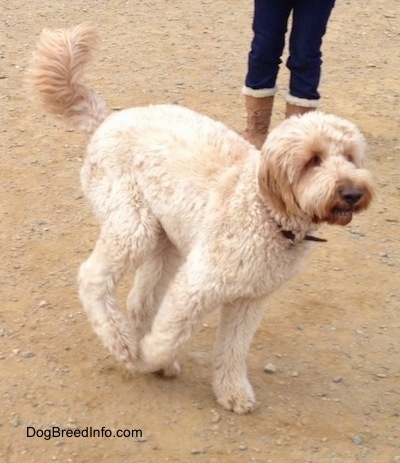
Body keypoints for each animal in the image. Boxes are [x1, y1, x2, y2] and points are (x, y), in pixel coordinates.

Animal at [28, 22, 376, 414]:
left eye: (350, 157)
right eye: (313, 160)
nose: (352, 193)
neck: (266, 213)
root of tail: (107, 119)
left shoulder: (250, 299)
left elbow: (233, 349)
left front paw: (233, 392)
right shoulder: (197, 284)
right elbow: (168, 336)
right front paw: (148, 358)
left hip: (165, 240)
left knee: (140, 299)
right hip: (133, 226)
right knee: (92, 277)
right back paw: (123, 344)